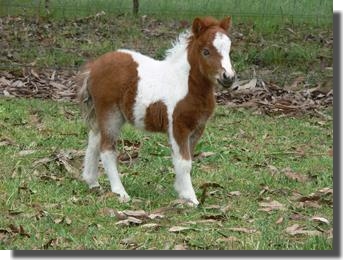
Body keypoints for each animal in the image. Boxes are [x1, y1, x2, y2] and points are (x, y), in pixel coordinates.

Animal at [77, 17, 235, 206]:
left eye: (229, 50)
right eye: (205, 51)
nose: (228, 77)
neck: (185, 84)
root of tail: (93, 67)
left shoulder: (197, 128)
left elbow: (185, 159)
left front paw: (181, 191)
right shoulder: (178, 126)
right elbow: (184, 162)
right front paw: (191, 199)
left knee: (93, 140)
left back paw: (92, 182)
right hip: (110, 114)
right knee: (106, 149)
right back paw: (120, 192)